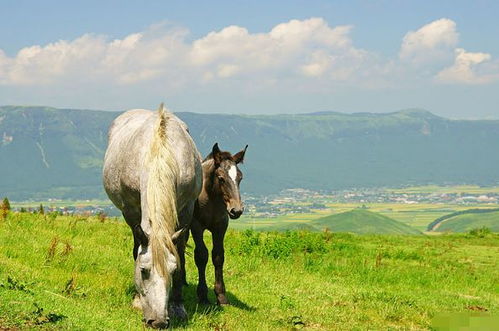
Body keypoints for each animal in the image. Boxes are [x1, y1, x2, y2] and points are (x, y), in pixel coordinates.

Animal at [102, 104, 202, 330]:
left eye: (173, 272)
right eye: (143, 271)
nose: (157, 321)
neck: (160, 154)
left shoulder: (187, 209)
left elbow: (179, 251)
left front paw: (177, 305)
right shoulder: (131, 210)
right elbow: (137, 247)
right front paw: (138, 300)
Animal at [190, 143, 247, 306]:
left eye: (240, 177)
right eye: (221, 178)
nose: (236, 210)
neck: (211, 199)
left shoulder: (220, 228)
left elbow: (218, 256)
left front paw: (221, 295)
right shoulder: (196, 226)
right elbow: (201, 255)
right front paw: (202, 295)